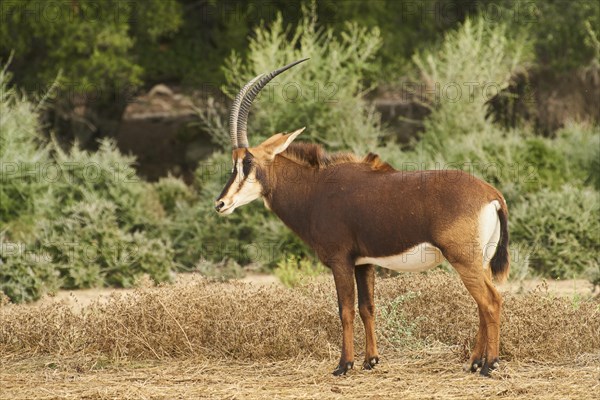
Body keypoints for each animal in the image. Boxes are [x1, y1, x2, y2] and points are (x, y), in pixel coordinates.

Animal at [218, 58, 508, 376]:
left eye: (247, 162)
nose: (221, 203)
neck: (315, 189)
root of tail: (491, 194)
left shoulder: (340, 261)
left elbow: (344, 309)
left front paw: (344, 365)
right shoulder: (363, 263)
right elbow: (367, 308)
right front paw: (371, 360)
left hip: (464, 259)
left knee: (491, 301)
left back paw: (489, 364)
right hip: (479, 261)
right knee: (482, 303)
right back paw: (475, 361)